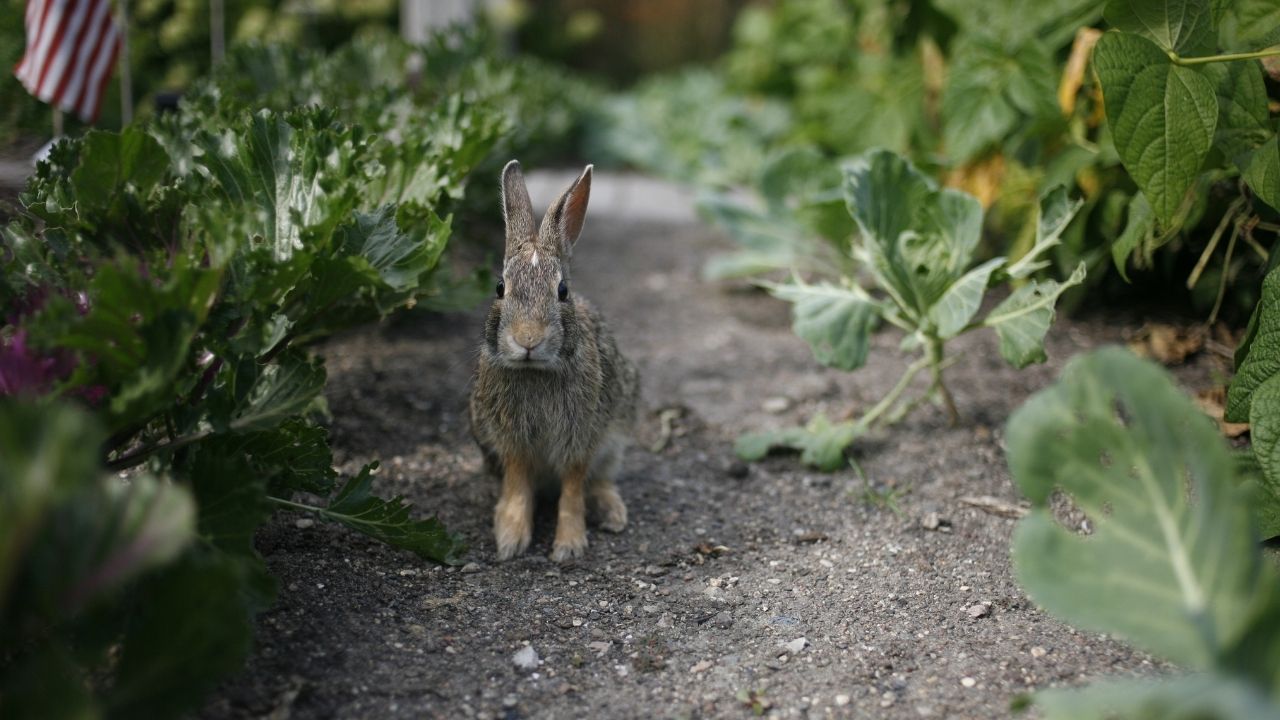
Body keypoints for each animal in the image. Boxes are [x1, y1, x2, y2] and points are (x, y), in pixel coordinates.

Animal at [468, 158, 637, 561]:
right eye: (500, 288)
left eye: (563, 291)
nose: (527, 339)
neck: (536, 370)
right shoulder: (510, 440)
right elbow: (518, 483)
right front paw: (510, 539)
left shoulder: (582, 435)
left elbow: (573, 486)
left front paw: (569, 546)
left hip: (617, 438)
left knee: (600, 480)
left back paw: (612, 513)